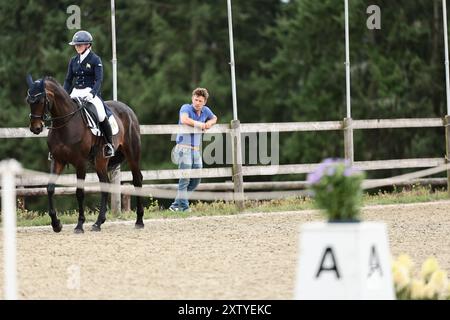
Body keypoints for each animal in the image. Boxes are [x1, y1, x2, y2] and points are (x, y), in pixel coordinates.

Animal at [25, 76, 144, 234]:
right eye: (28, 100)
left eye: (40, 100)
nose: (35, 128)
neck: (65, 124)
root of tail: (127, 109)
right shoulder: (57, 160)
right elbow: (50, 188)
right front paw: (56, 224)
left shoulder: (80, 162)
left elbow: (79, 192)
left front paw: (79, 225)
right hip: (100, 161)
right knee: (105, 184)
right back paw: (98, 223)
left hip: (132, 154)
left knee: (137, 181)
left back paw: (139, 221)